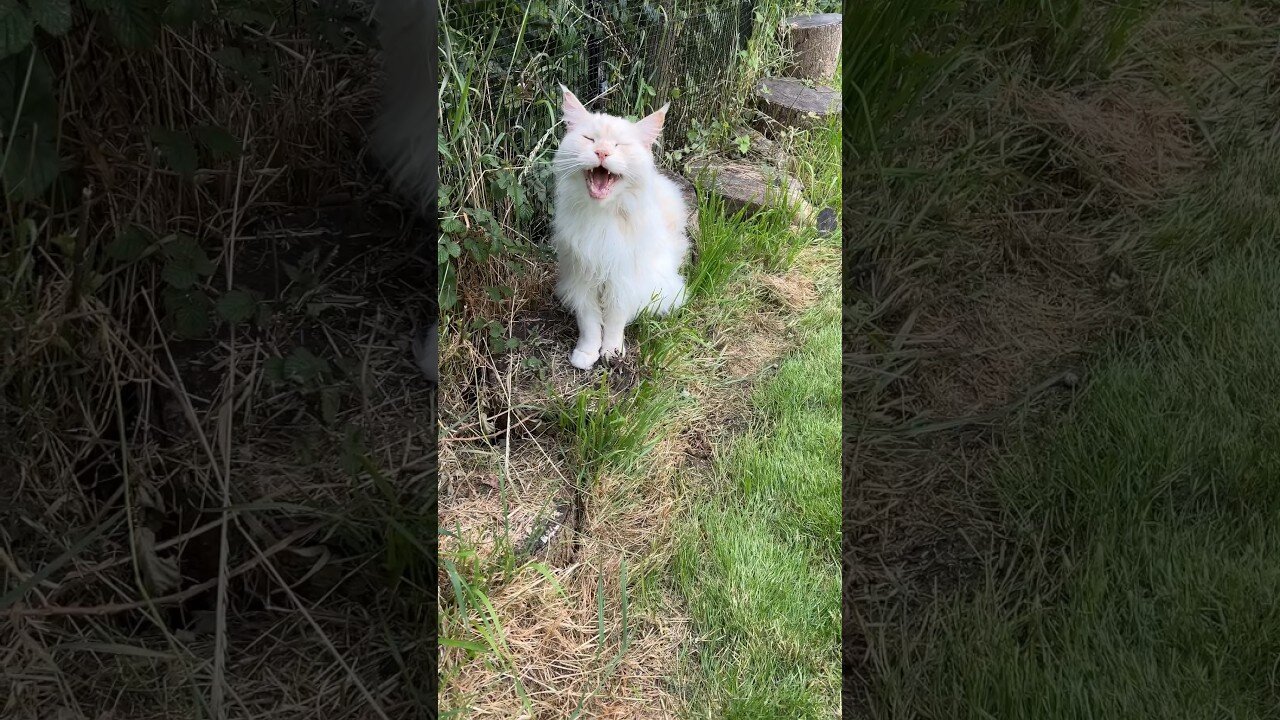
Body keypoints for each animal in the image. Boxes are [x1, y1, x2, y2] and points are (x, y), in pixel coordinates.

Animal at [550, 85, 691, 368]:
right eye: (590, 139)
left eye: (618, 146)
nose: (602, 153)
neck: (601, 217)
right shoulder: (582, 278)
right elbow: (589, 323)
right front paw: (586, 354)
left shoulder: (621, 280)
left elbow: (614, 321)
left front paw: (612, 352)